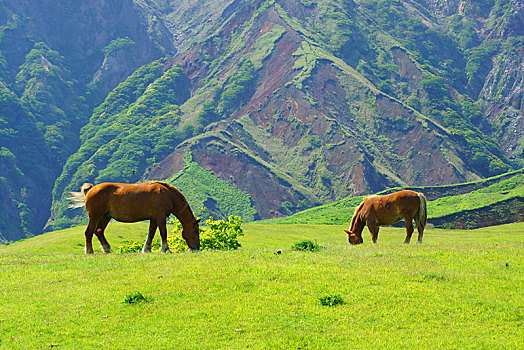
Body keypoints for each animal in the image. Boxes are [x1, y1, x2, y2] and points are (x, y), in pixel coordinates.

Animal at [68, 182, 200, 253]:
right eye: (195, 231)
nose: (196, 248)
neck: (167, 194)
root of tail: (92, 188)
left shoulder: (154, 218)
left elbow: (151, 234)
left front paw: (146, 249)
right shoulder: (160, 216)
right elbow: (163, 233)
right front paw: (166, 249)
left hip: (105, 217)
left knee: (98, 231)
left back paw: (107, 249)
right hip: (95, 216)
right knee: (89, 232)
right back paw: (89, 251)